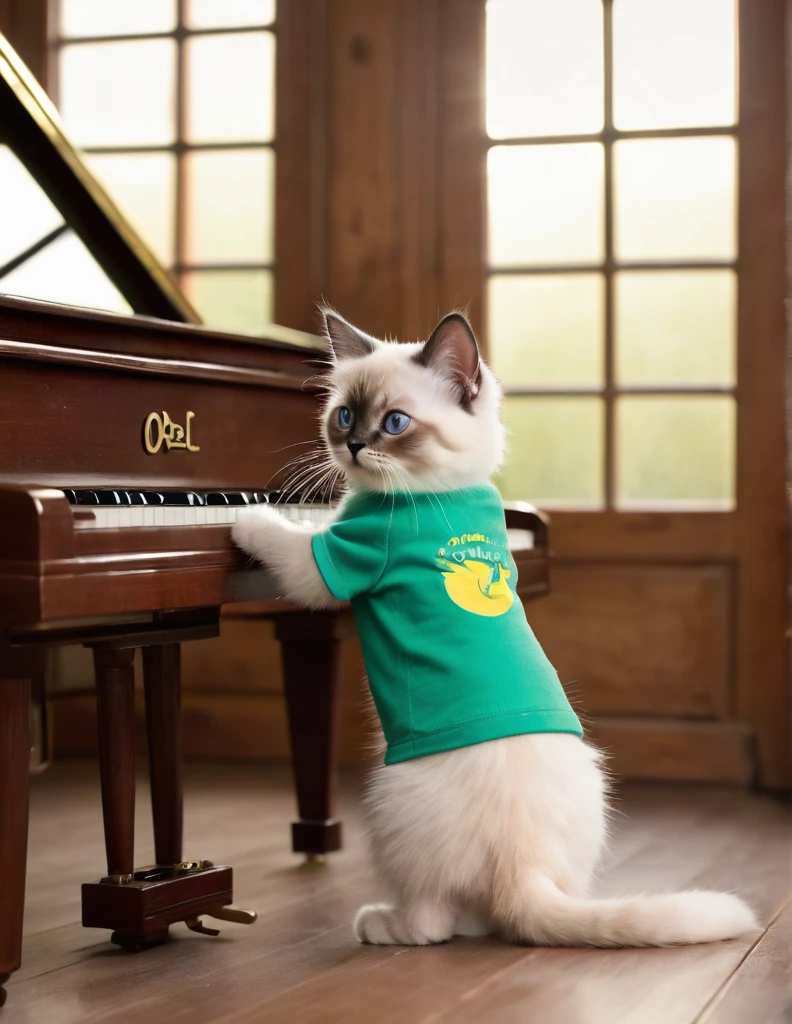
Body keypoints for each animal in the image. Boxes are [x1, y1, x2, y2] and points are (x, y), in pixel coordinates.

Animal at [231, 307, 758, 946]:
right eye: (345, 416)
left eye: (395, 423)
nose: (353, 446)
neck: (447, 486)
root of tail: (524, 870)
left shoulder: (338, 558)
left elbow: (281, 538)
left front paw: (243, 514)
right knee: (482, 921)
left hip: (385, 795)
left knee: (432, 923)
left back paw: (377, 922)